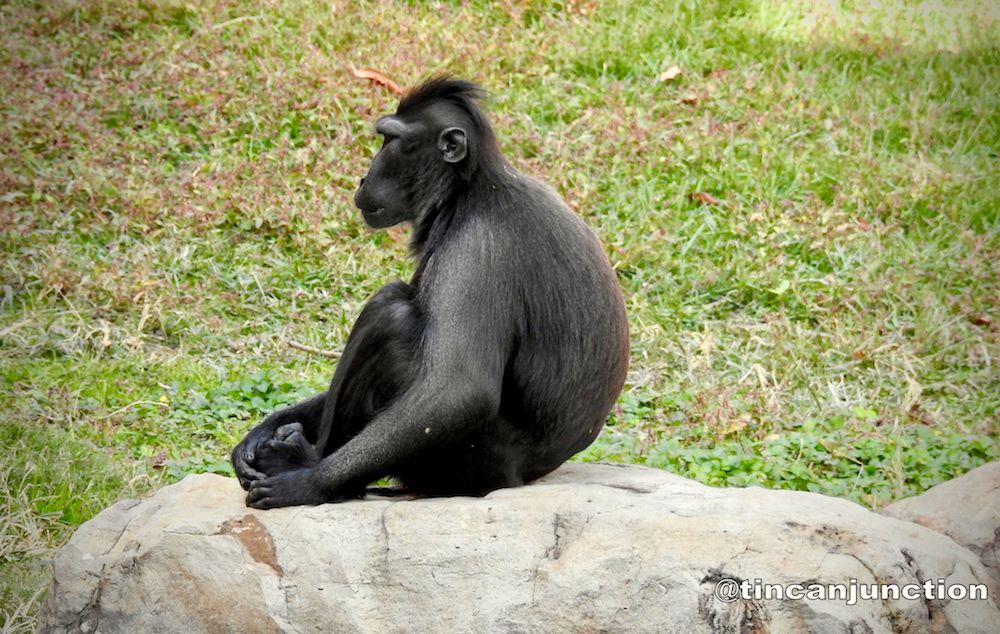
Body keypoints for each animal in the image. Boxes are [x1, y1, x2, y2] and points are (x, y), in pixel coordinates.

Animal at [230, 76, 628, 506]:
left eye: (390, 141)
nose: (362, 179)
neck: (471, 189)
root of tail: (526, 477)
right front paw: (261, 432)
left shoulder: (476, 248)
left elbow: (458, 390)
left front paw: (308, 482)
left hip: (469, 462)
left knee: (391, 314)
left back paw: (312, 464)